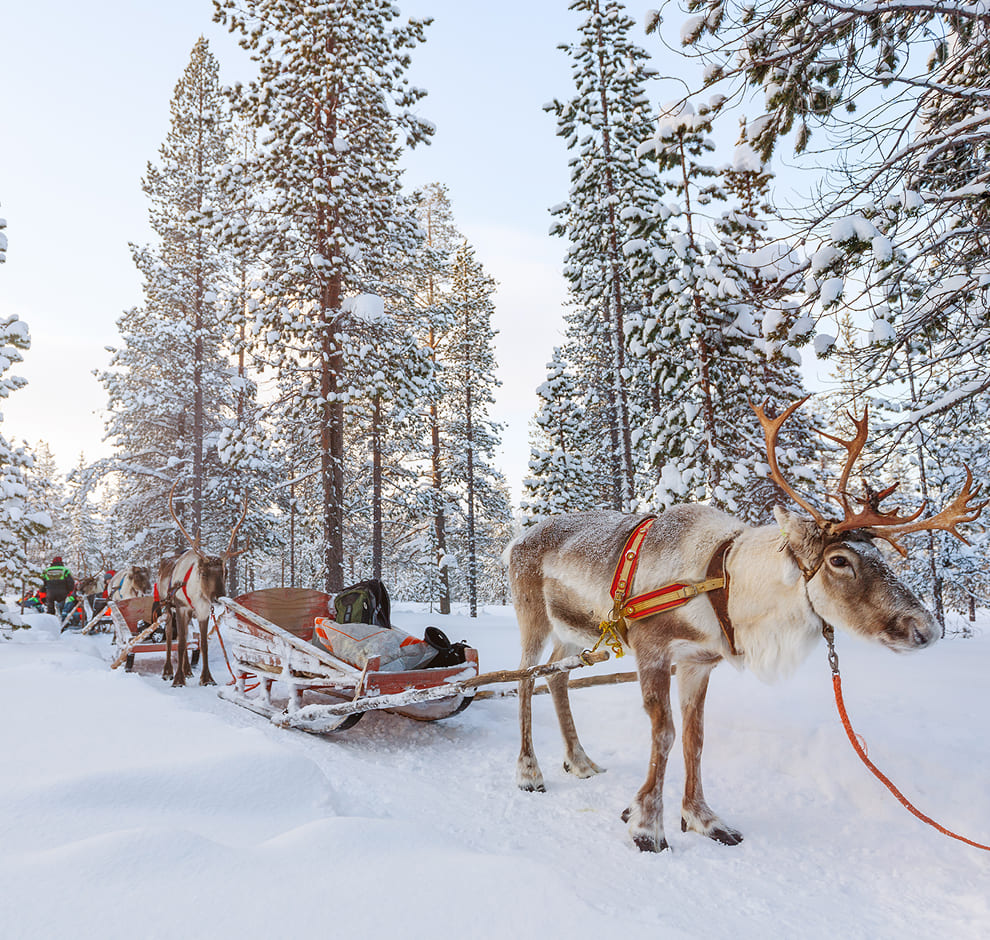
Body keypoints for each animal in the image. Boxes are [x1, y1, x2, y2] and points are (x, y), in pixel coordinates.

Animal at [158, 483, 248, 688]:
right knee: (170, 636)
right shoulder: (181, 608)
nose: (218, 597)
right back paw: (168, 671)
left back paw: (188, 670)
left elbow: (203, 644)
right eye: (204, 573)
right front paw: (178, 680)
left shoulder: (204, 611)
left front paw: (207, 678)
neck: (196, 593)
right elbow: (181, 643)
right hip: (167, 607)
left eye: (225, 573)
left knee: (186, 637)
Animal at [506, 397, 986, 853]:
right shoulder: (653, 650)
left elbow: (695, 739)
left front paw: (703, 819)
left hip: (573, 633)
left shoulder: (698, 662)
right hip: (533, 618)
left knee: (556, 677)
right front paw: (647, 826)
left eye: (882, 557)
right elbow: (664, 734)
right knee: (525, 677)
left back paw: (580, 761)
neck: (723, 581)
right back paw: (529, 772)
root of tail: (516, 541)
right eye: (839, 560)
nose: (926, 629)